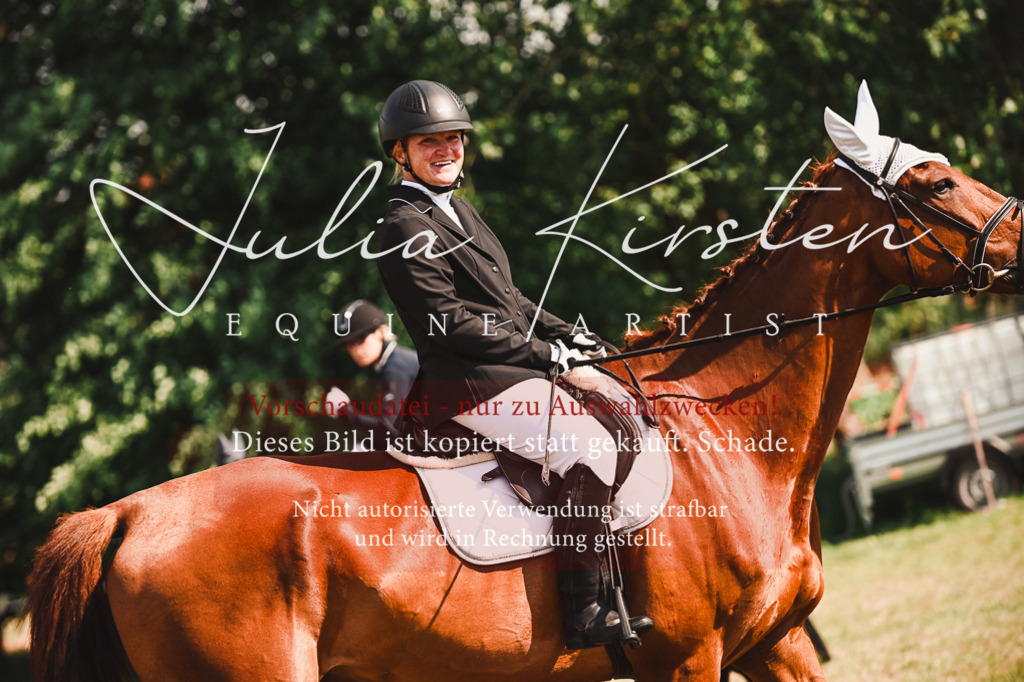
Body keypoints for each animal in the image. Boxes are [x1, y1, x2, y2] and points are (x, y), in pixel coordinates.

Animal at [28, 84, 1022, 681]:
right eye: (935, 184)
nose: (1019, 238)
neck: (726, 439)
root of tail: (124, 514)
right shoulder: (686, 657)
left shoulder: (772, 644)